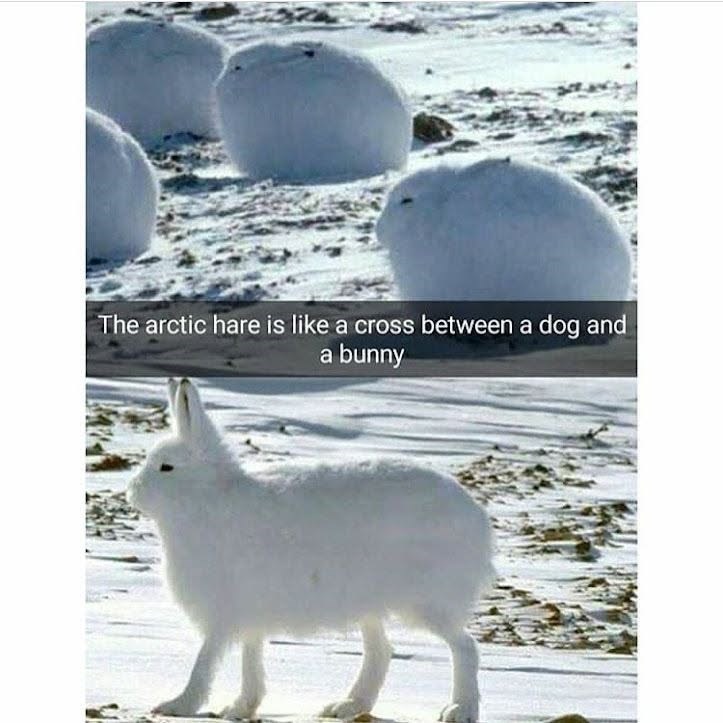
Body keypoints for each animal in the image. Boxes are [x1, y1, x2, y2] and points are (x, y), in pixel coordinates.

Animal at [127, 378, 495, 722]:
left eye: (166, 467)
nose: (132, 491)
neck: (208, 498)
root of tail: (477, 520)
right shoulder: (249, 617)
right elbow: (251, 660)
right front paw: (241, 707)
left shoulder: (223, 612)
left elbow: (205, 661)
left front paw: (177, 705)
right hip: (370, 606)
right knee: (381, 652)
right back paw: (346, 706)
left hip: (425, 602)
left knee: (465, 647)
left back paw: (460, 710)